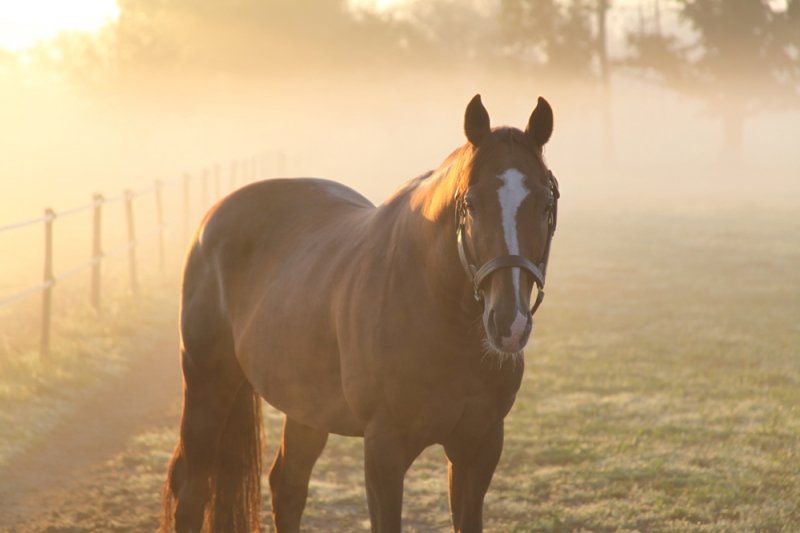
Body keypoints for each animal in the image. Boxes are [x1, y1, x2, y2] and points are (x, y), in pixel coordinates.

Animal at [161, 94, 560, 533]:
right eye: (470, 203)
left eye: (546, 204)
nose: (509, 323)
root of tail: (212, 219)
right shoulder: (384, 450)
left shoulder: (479, 447)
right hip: (206, 386)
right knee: (192, 490)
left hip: (305, 408)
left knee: (287, 485)